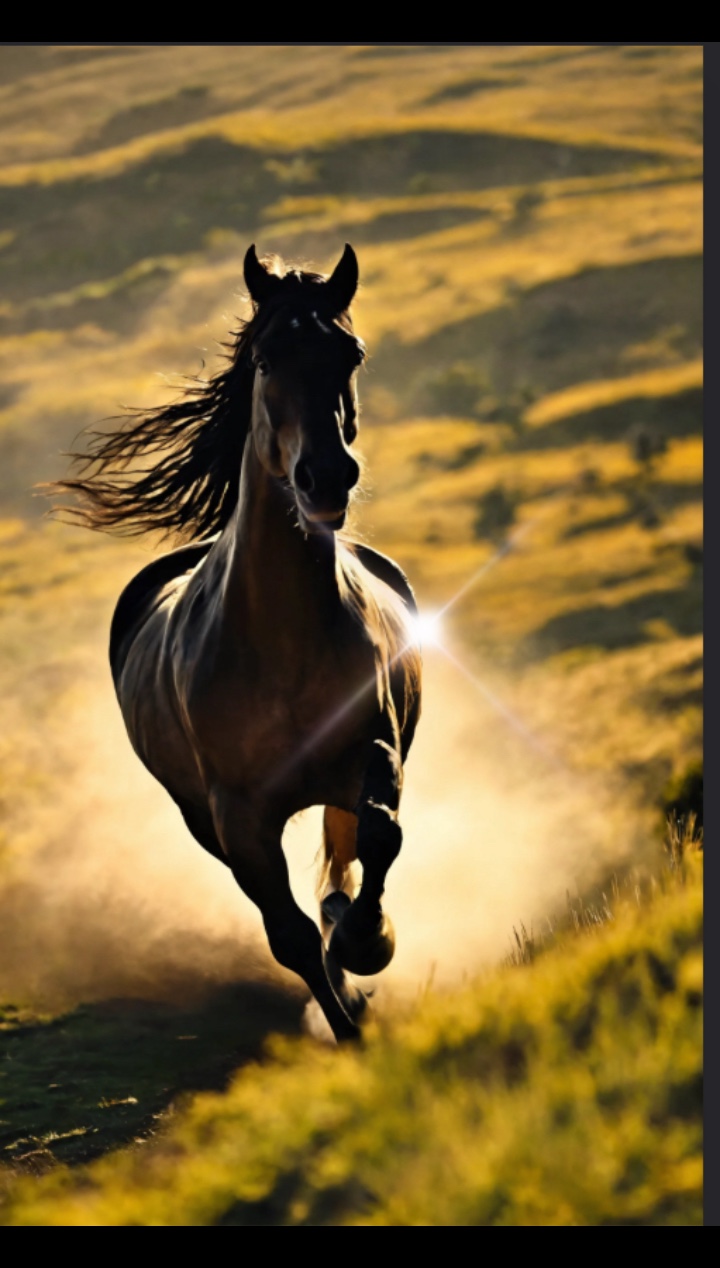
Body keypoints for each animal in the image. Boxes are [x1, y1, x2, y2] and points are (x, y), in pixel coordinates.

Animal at [55, 244, 422, 1043]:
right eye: (265, 357)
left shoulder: (373, 751)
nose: (326, 478)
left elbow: (379, 840)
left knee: (345, 856)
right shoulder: (238, 817)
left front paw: (366, 942)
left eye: (350, 353)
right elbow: (289, 936)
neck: (281, 640)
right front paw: (347, 1023)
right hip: (201, 821)